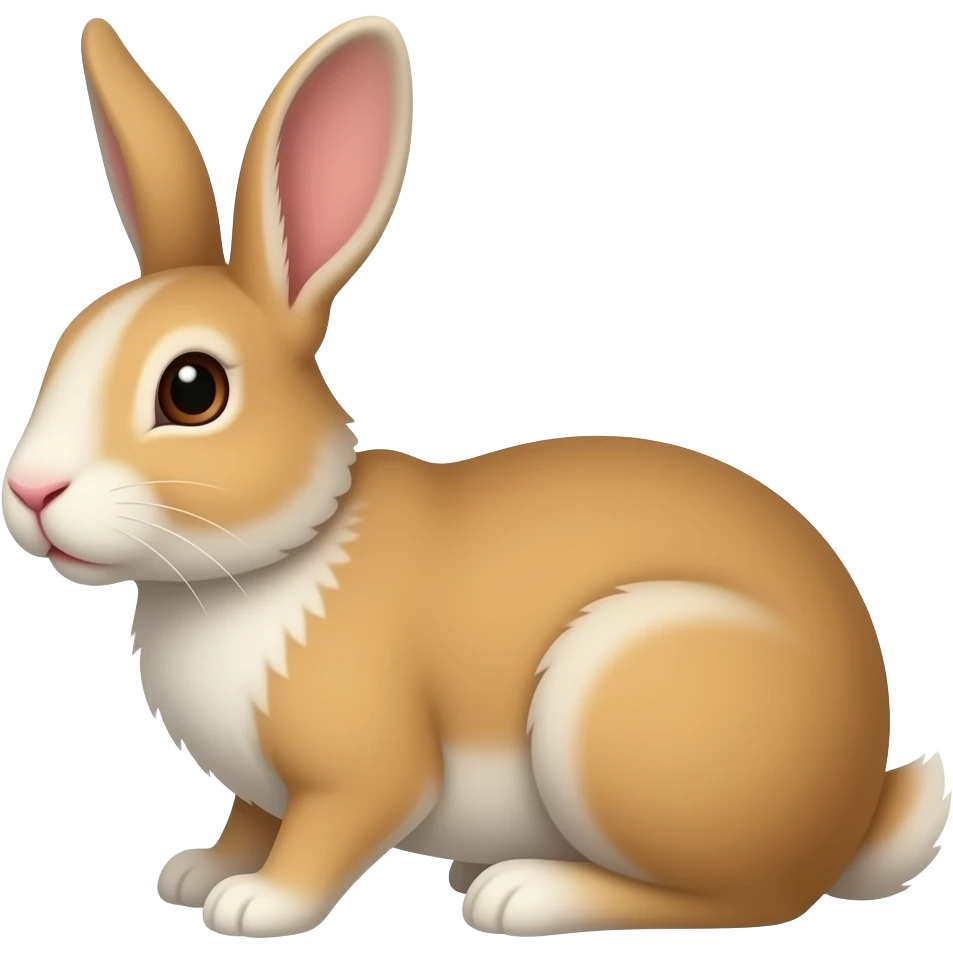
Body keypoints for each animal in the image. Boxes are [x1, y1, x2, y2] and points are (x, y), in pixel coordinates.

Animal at [2, 14, 948, 940]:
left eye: (192, 389)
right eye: (64, 342)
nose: (31, 492)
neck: (272, 558)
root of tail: (851, 813)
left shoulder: (362, 772)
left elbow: (326, 831)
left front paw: (256, 903)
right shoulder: (262, 788)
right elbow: (251, 817)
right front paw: (199, 871)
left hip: (619, 695)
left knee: (739, 898)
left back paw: (523, 890)